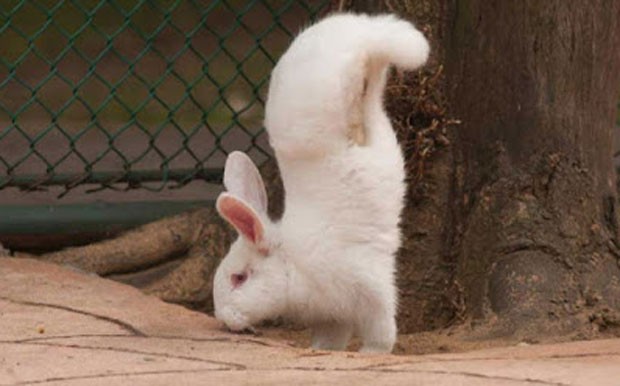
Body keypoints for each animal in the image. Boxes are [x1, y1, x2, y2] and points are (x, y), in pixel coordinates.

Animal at [211, 12, 428, 352]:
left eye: (240, 278)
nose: (223, 319)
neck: (293, 264)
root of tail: (361, 28)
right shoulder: (332, 317)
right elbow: (330, 341)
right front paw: (320, 350)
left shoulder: (370, 288)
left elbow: (381, 331)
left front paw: (370, 352)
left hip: (339, 88)